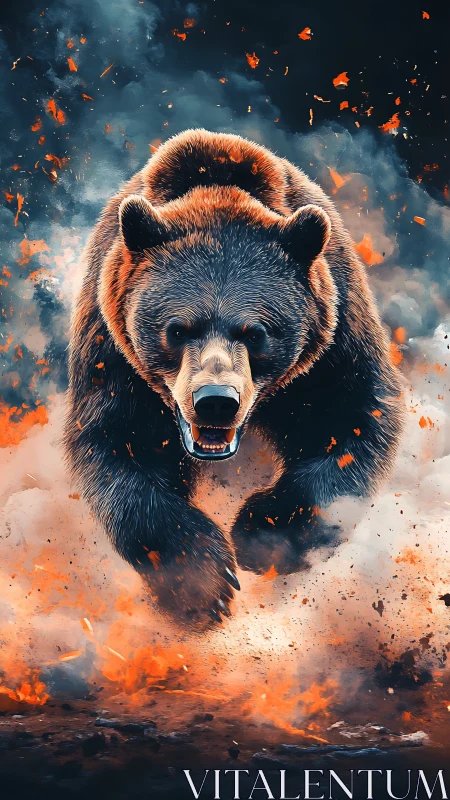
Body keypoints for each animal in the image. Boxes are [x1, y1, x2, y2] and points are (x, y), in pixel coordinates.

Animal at [64, 128, 404, 628]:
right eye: (177, 329)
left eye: (256, 332)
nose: (215, 400)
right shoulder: (112, 351)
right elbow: (119, 446)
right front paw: (203, 584)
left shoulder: (335, 335)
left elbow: (352, 420)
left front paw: (263, 533)